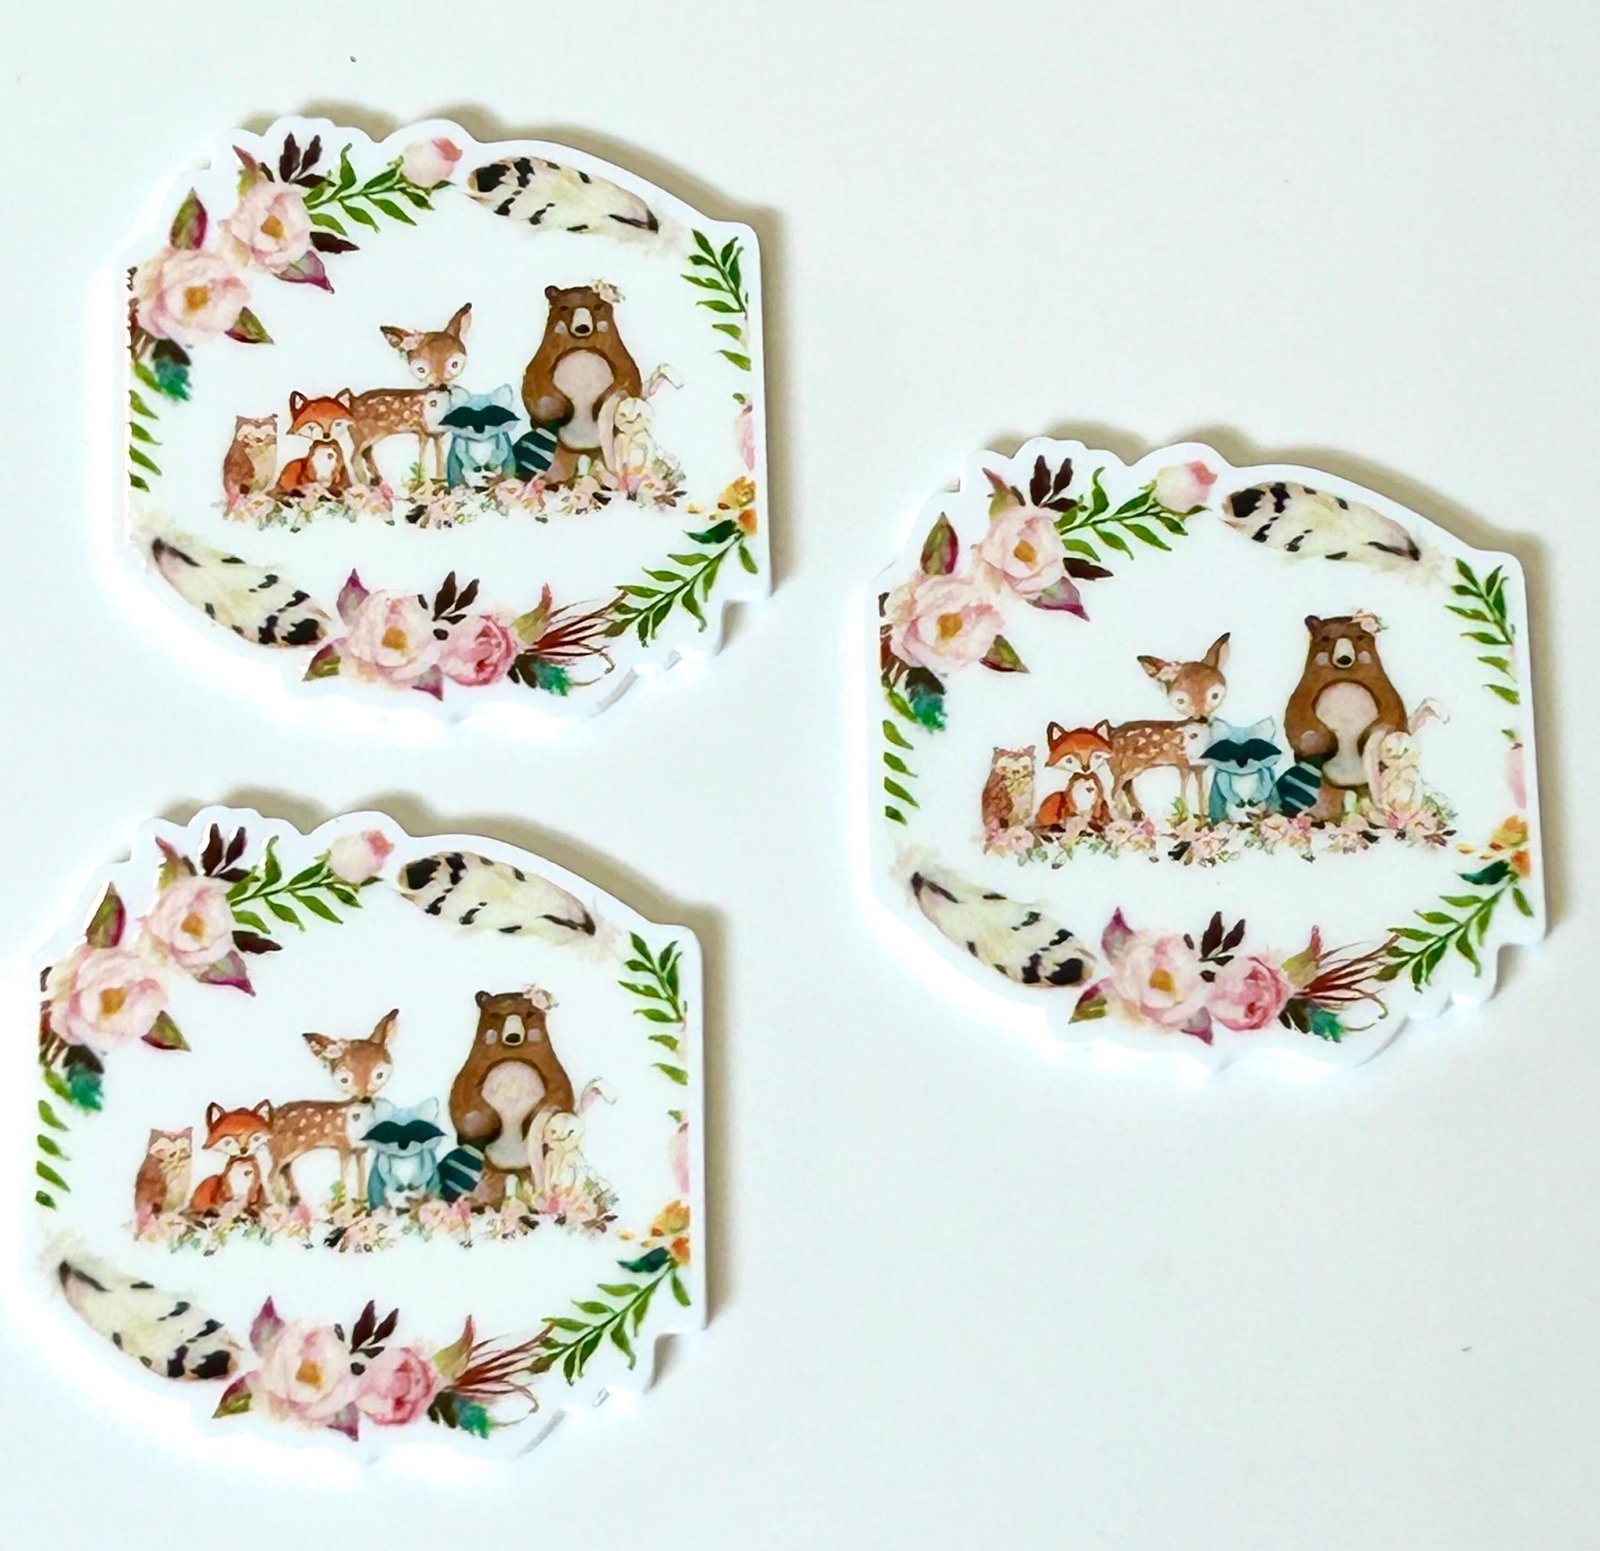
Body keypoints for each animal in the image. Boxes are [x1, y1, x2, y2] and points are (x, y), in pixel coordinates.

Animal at [448, 988, 576, 1204]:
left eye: (530, 1014)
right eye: (495, 1015)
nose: (513, 1037)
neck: (513, 1056)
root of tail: (510, 1171)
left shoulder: (552, 1070)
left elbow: (560, 1096)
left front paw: (530, 1123)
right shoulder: (472, 1071)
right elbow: (463, 1098)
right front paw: (488, 1128)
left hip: (529, 1170)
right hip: (488, 1170)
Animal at [519, 285, 642, 487]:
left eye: (598, 307)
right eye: (564, 307)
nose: (582, 328)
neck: (581, 346)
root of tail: (584, 452)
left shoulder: (620, 357)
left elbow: (630, 381)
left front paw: (598, 406)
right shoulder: (543, 359)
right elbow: (534, 385)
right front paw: (563, 410)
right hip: (561, 451)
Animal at [1284, 614, 1407, 821]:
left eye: (1359, 637)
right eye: (1326, 639)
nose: (1344, 659)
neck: (1344, 677)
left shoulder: (1386, 694)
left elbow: (1392, 719)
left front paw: (1365, 740)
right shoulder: (1303, 694)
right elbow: (1297, 720)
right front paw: (1323, 744)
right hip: (1326, 783)